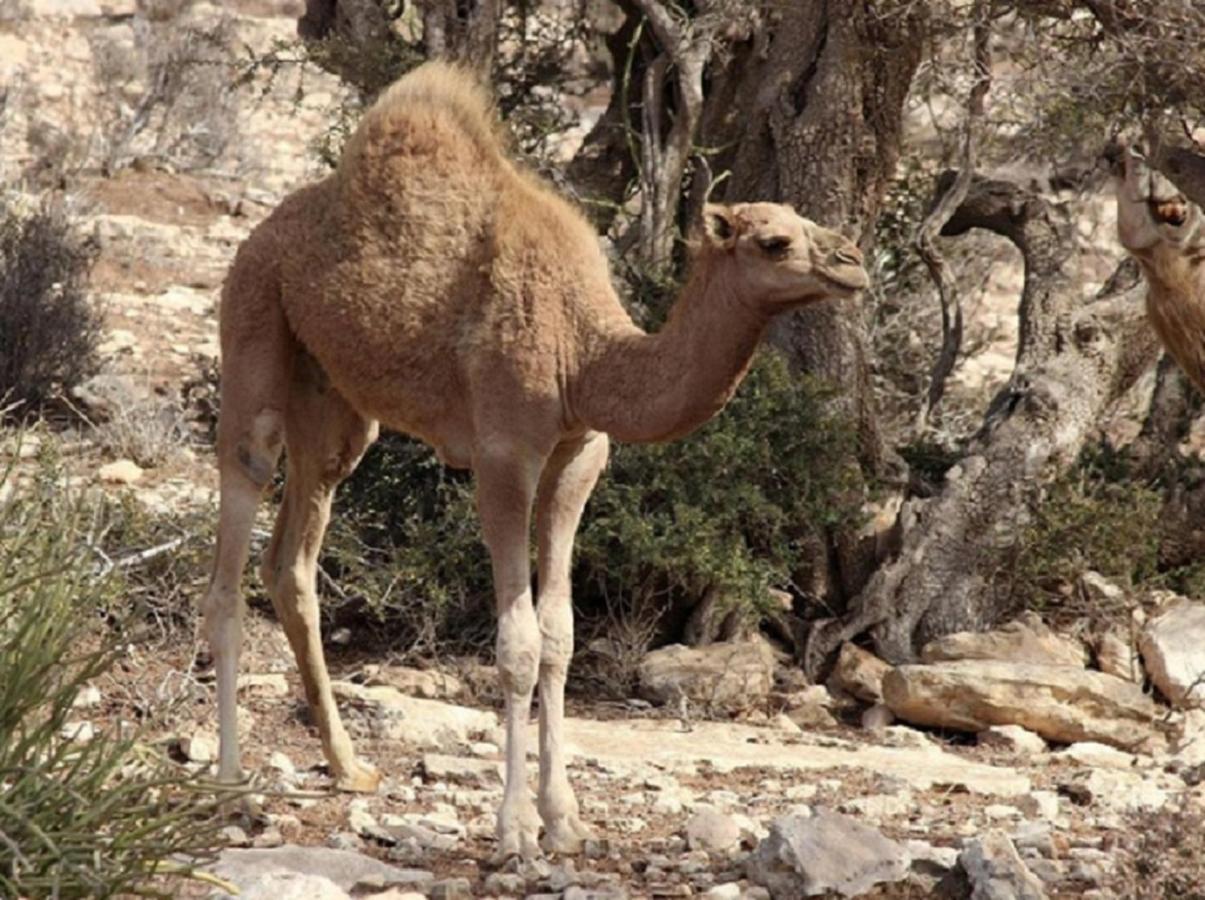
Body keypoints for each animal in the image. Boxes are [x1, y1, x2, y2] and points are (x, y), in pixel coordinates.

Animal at [202, 59, 872, 862]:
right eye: (773, 241)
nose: (854, 262)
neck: (584, 354)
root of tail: (265, 228)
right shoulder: (504, 456)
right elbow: (517, 643)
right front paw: (516, 828)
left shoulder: (578, 456)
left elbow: (560, 637)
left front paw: (566, 820)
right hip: (254, 326)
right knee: (233, 542)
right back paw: (233, 792)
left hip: (335, 407)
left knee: (292, 561)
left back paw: (348, 766)